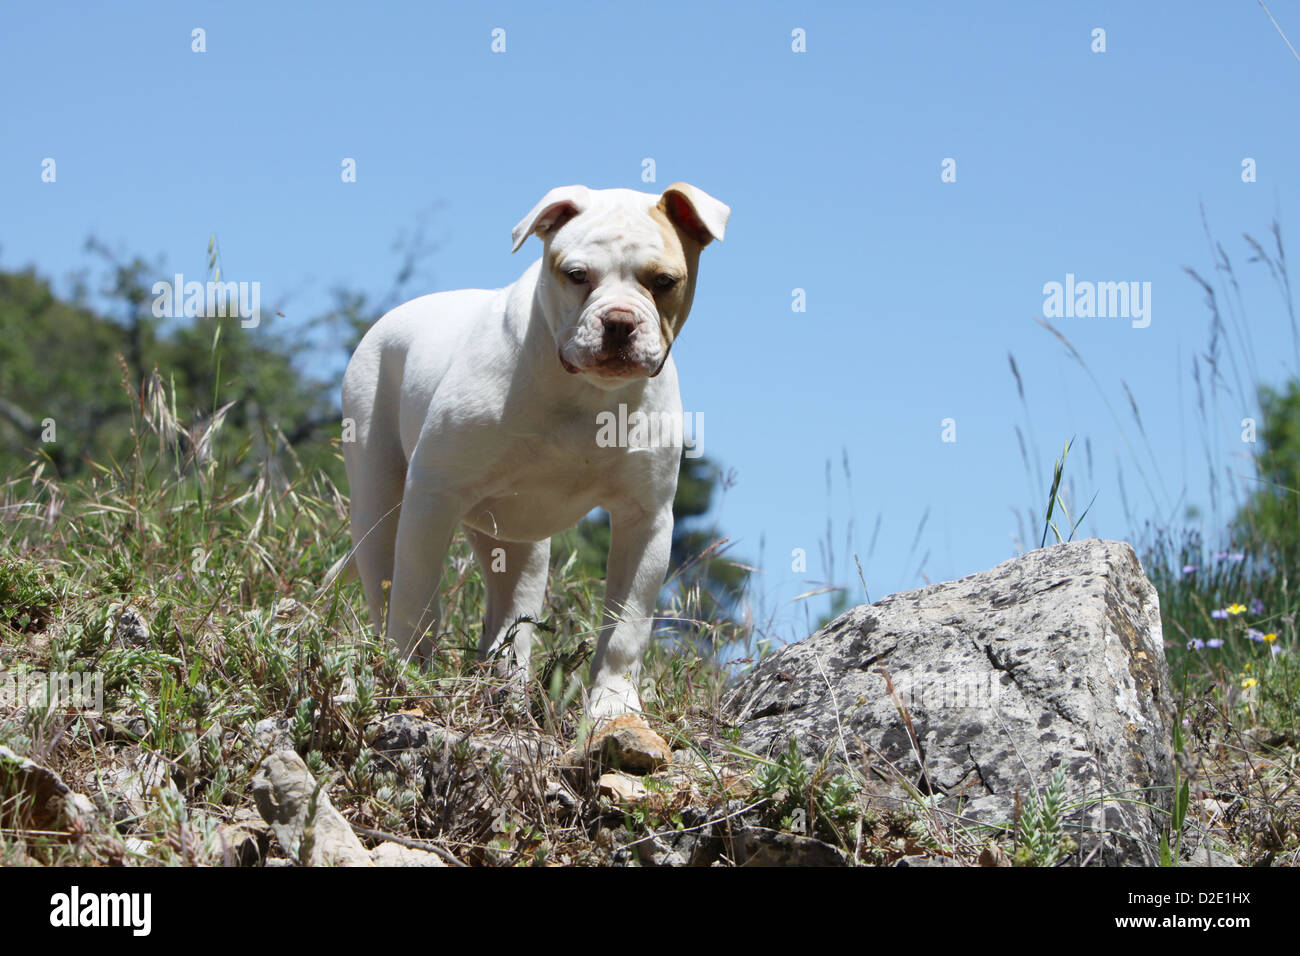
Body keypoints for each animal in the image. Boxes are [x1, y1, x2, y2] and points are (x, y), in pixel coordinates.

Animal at [343, 183, 733, 717]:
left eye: (664, 281)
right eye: (577, 275)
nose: (619, 321)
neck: (587, 392)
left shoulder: (645, 518)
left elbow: (626, 625)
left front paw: (613, 705)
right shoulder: (434, 495)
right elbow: (415, 593)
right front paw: (410, 678)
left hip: (515, 542)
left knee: (511, 613)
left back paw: (506, 687)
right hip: (377, 494)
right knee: (386, 581)